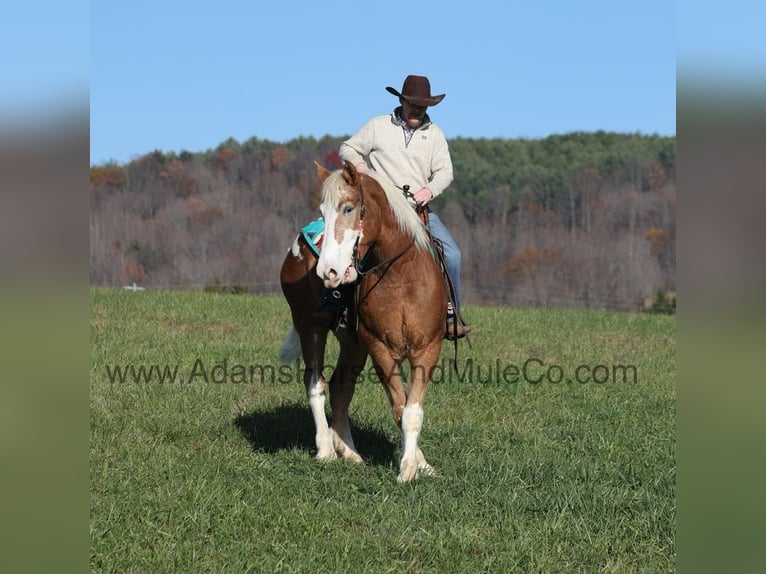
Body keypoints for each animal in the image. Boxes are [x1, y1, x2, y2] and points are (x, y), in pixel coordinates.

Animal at [278, 161, 447, 483]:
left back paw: (349, 451)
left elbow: (412, 410)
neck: (402, 276)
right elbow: (400, 407)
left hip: (352, 343)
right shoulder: (380, 348)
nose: (328, 271)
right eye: (323, 212)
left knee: (340, 387)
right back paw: (326, 450)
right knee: (315, 383)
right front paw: (409, 467)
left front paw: (420, 465)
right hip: (310, 328)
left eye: (348, 208)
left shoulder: (427, 349)